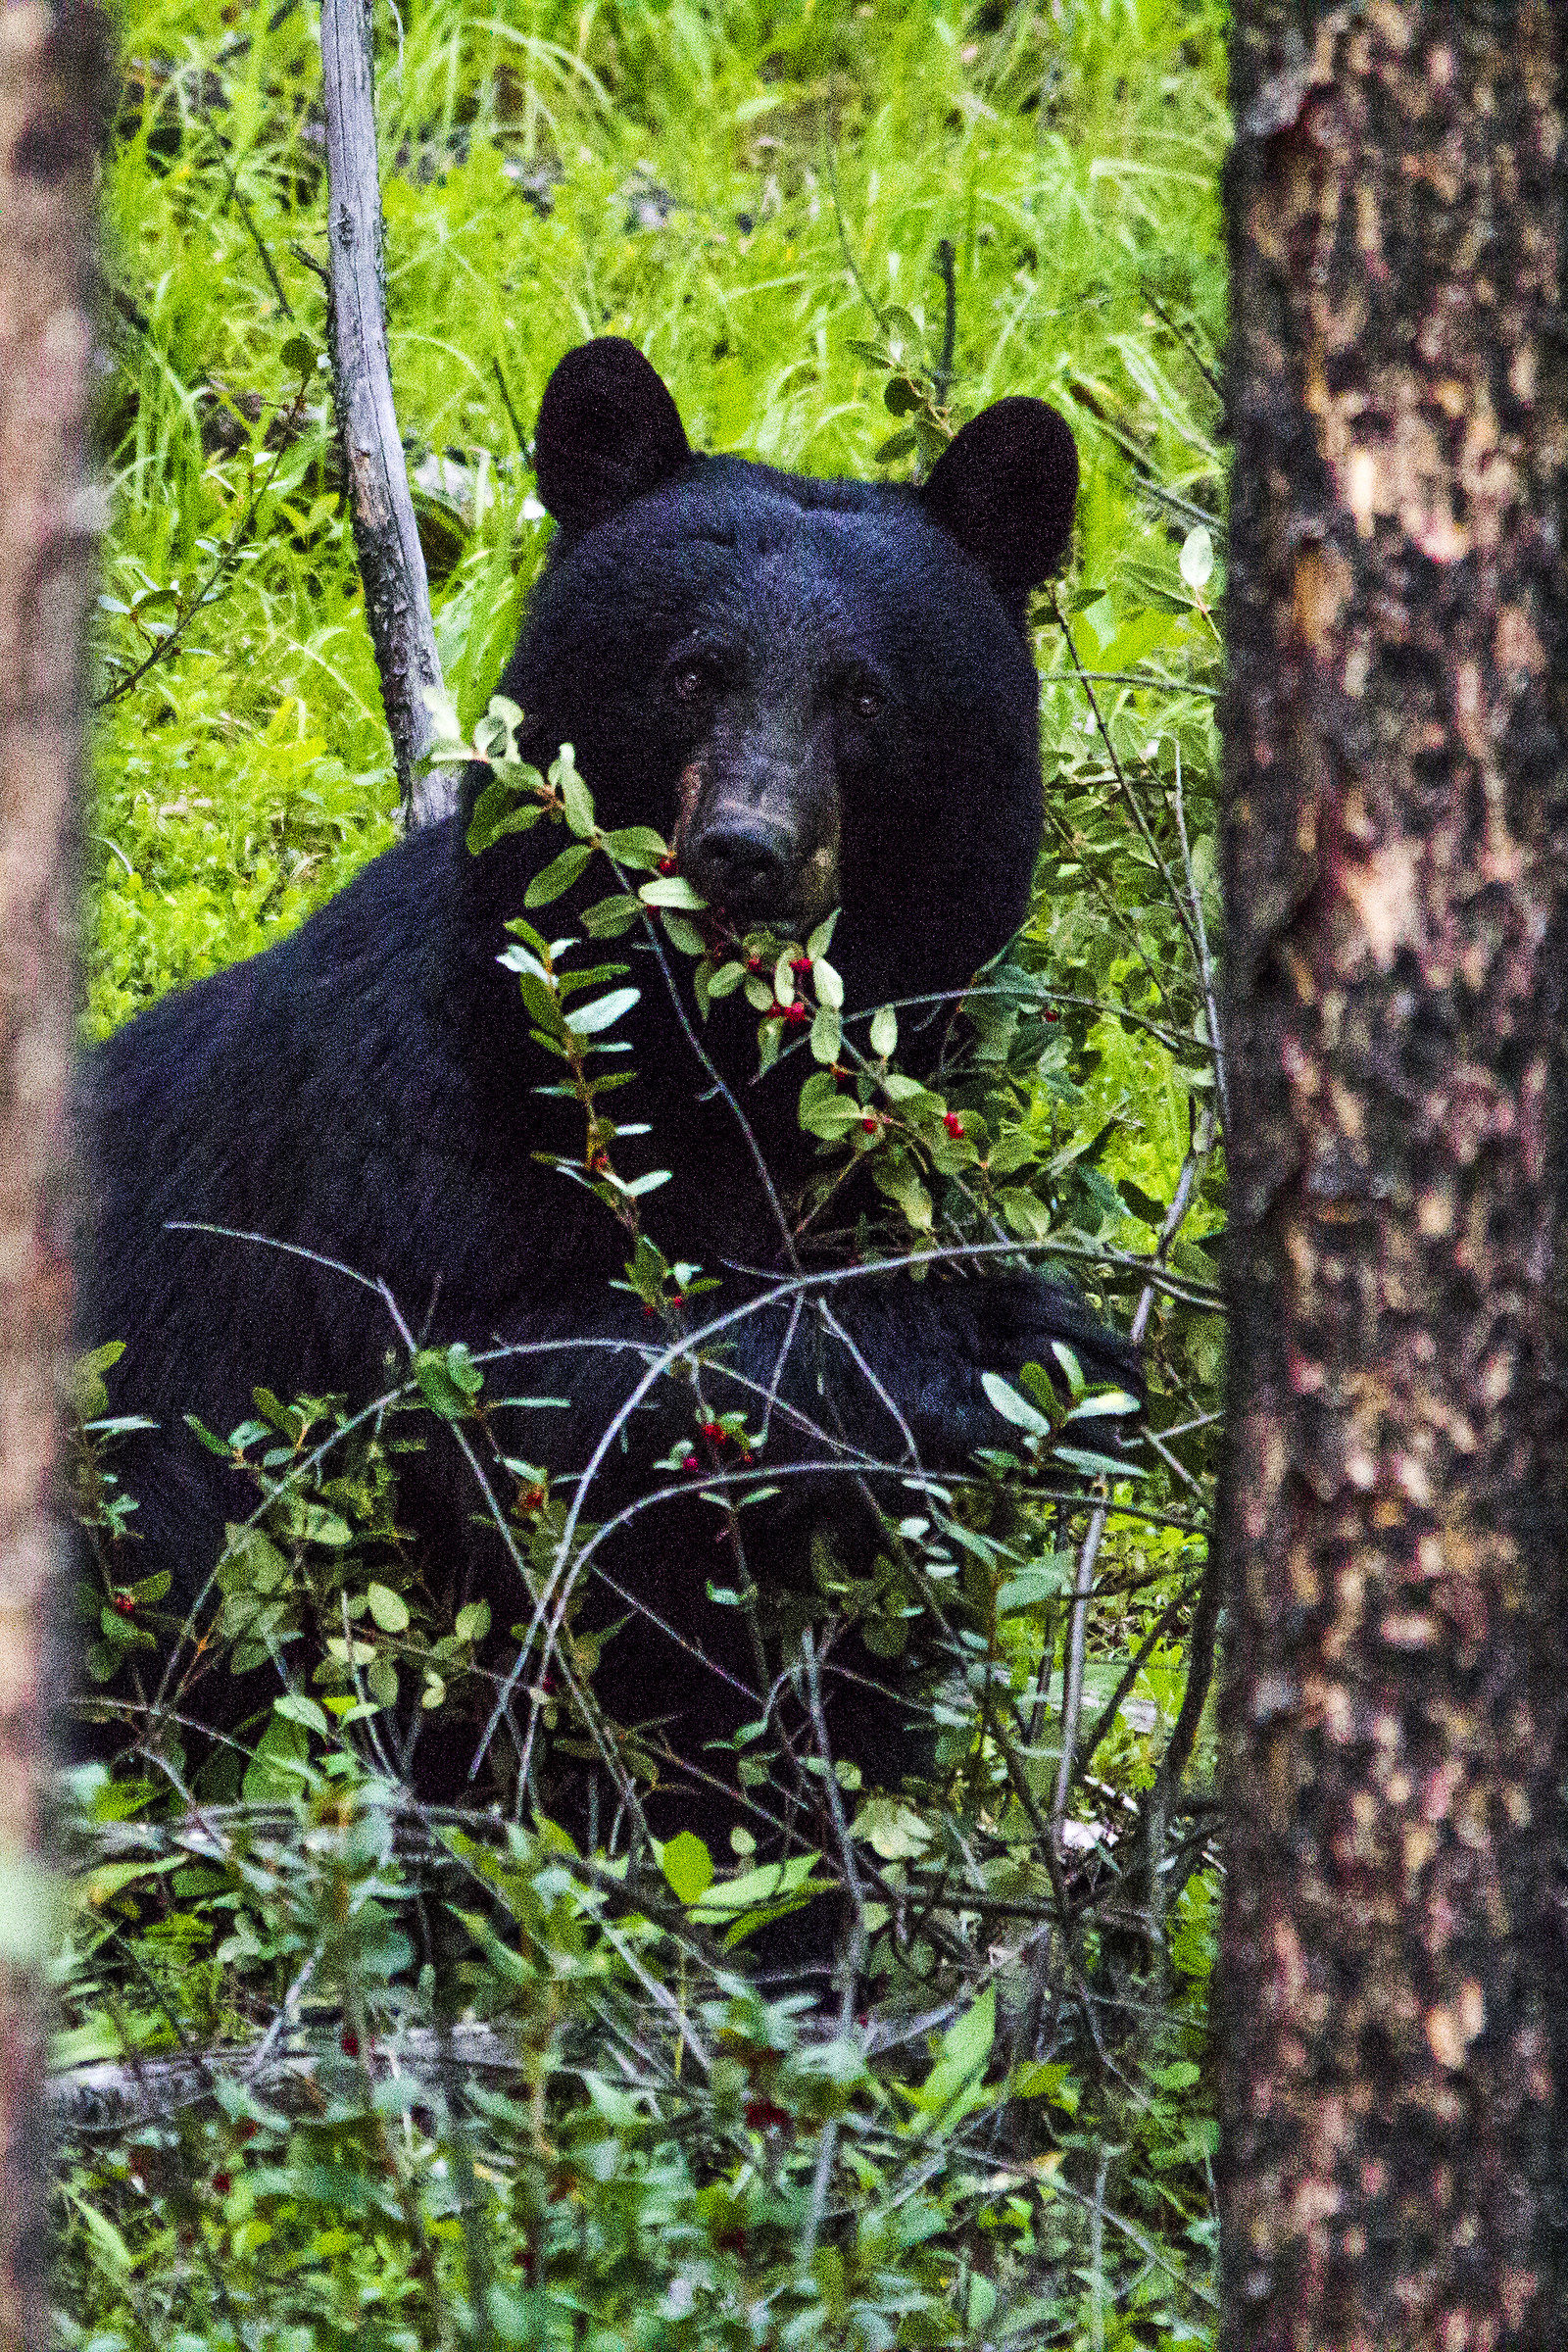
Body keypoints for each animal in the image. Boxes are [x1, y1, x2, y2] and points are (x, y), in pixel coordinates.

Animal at [82, 338, 1140, 1877]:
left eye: (866, 697)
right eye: (693, 671)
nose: (747, 851)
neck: (706, 1073)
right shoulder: (406, 1134)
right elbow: (486, 1389)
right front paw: (999, 1342)